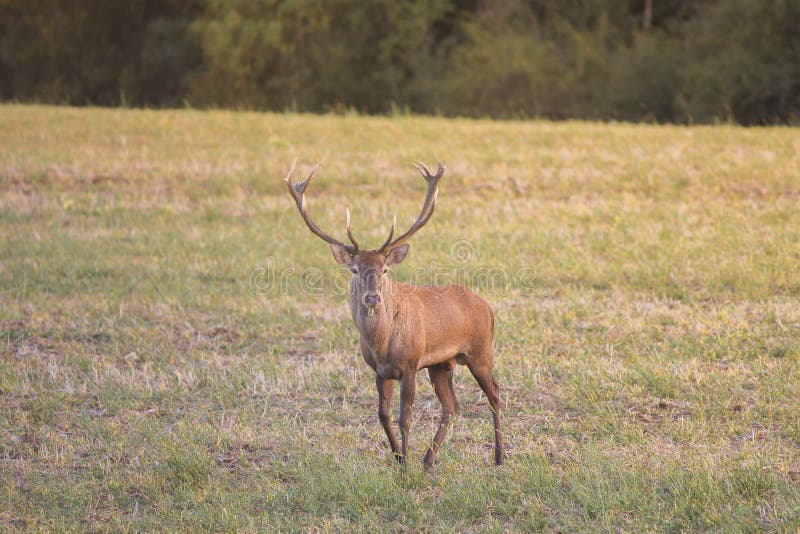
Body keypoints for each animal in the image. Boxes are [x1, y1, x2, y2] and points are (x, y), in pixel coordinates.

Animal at [284, 161, 504, 472]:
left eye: (385, 269)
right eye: (354, 269)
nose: (373, 297)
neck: (382, 345)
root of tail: (487, 307)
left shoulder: (410, 364)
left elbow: (405, 418)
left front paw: (406, 463)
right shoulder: (379, 371)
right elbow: (383, 414)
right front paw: (400, 458)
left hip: (480, 350)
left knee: (494, 394)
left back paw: (499, 456)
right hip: (441, 364)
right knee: (451, 406)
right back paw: (428, 460)